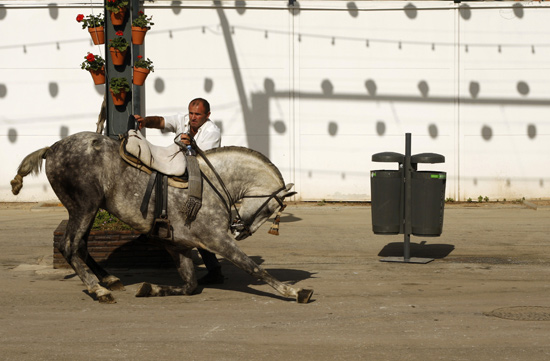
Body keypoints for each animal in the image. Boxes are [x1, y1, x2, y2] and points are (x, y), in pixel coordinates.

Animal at [11, 131, 314, 302]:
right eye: (271, 210)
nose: (241, 231)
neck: (213, 181)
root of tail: (52, 148)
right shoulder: (216, 238)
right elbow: (253, 267)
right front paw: (294, 292)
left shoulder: (178, 244)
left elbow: (190, 285)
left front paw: (152, 289)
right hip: (84, 207)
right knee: (70, 246)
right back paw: (99, 290)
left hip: (89, 209)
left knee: (82, 246)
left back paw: (108, 280)